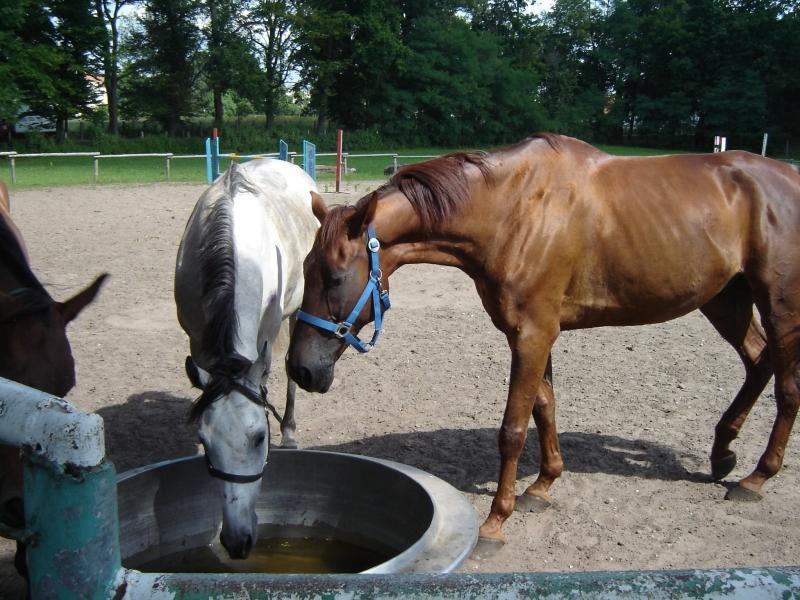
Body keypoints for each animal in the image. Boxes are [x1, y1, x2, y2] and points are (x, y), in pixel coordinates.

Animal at [288, 134, 800, 548]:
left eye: (335, 278)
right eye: (305, 269)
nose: (300, 369)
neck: (514, 210)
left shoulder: (532, 334)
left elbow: (513, 429)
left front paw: (496, 521)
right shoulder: (534, 333)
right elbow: (545, 407)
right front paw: (542, 485)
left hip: (779, 308)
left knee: (787, 388)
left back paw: (756, 478)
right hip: (725, 299)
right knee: (758, 362)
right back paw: (723, 453)